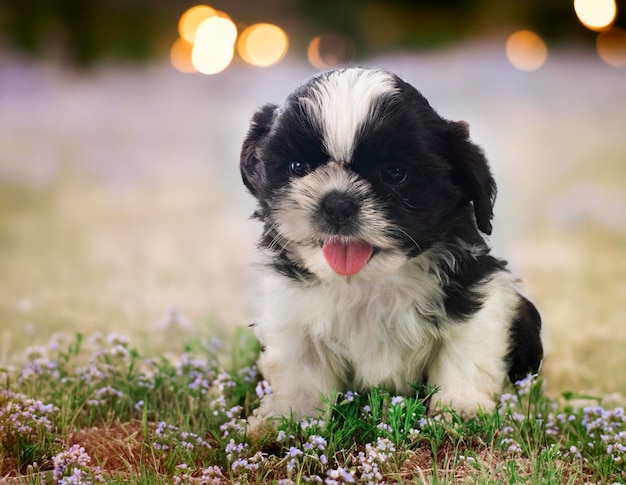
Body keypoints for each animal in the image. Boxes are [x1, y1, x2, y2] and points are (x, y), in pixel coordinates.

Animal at [240, 65, 540, 420]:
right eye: (298, 167)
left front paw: (460, 406)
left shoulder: (478, 292)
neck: (367, 283)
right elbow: (300, 368)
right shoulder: (292, 311)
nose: (338, 203)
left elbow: (465, 350)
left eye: (395, 174)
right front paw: (292, 415)